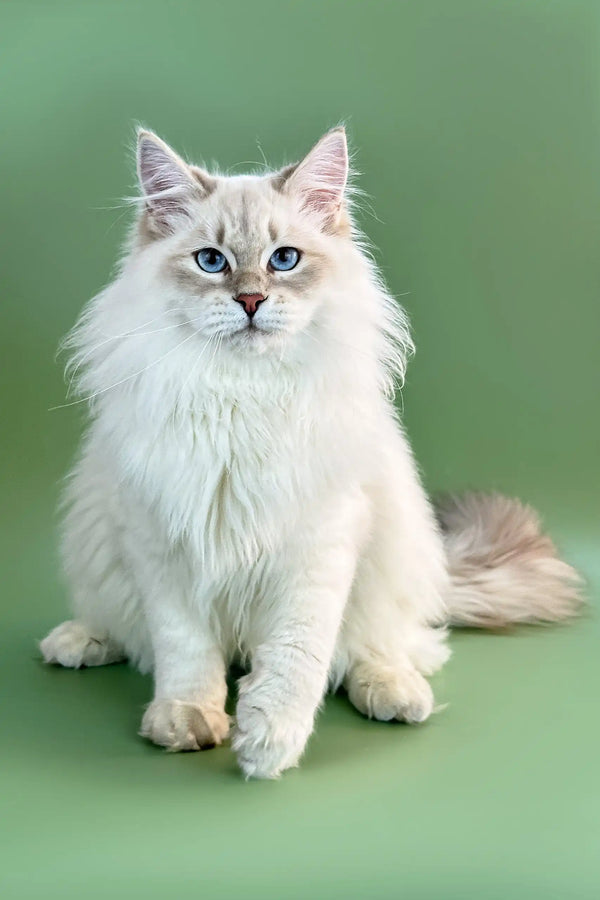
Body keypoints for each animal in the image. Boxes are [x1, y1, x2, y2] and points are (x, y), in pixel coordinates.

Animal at [39, 128, 584, 780]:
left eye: (285, 260)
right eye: (211, 261)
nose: (251, 300)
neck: (241, 398)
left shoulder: (318, 543)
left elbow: (297, 658)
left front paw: (268, 744)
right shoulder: (161, 543)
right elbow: (183, 650)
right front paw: (188, 721)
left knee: (394, 645)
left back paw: (395, 693)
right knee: (126, 630)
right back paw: (77, 642)